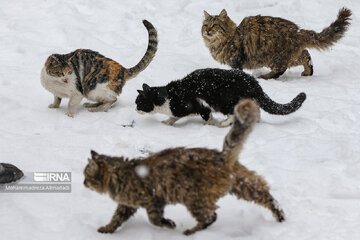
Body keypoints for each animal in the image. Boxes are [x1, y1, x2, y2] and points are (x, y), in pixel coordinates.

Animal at [83, 99, 284, 234]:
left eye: (86, 175)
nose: (83, 183)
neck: (119, 173)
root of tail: (222, 155)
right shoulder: (128, 206)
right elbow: (117, 219)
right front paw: (107, 229)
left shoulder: (151, 200)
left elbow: (154, 219)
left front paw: (169, 224)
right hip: (242, 185)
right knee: (266, 195)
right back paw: (280, 216)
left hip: (193, 196)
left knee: (211, 216)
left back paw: (190, 232)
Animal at [135, 67, 306, 127]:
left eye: (138, 102)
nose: (135, 109)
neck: (167, 98)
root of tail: (253, 82)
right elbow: (173, 117)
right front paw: (167, 122)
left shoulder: (200, 106)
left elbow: (206, 117)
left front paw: (209, 125)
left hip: (225, 101)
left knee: (233, 114)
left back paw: (223, 124)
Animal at [202, 7, 352, 79]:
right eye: (205, 25)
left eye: (214, 25)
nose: (207, 30)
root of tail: (297, 31)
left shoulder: (236, 60)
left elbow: (236, 73)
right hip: (291, 56)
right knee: (306, 55)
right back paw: (308, 71)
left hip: (276, 58)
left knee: (280, 70)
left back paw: (264, 77)